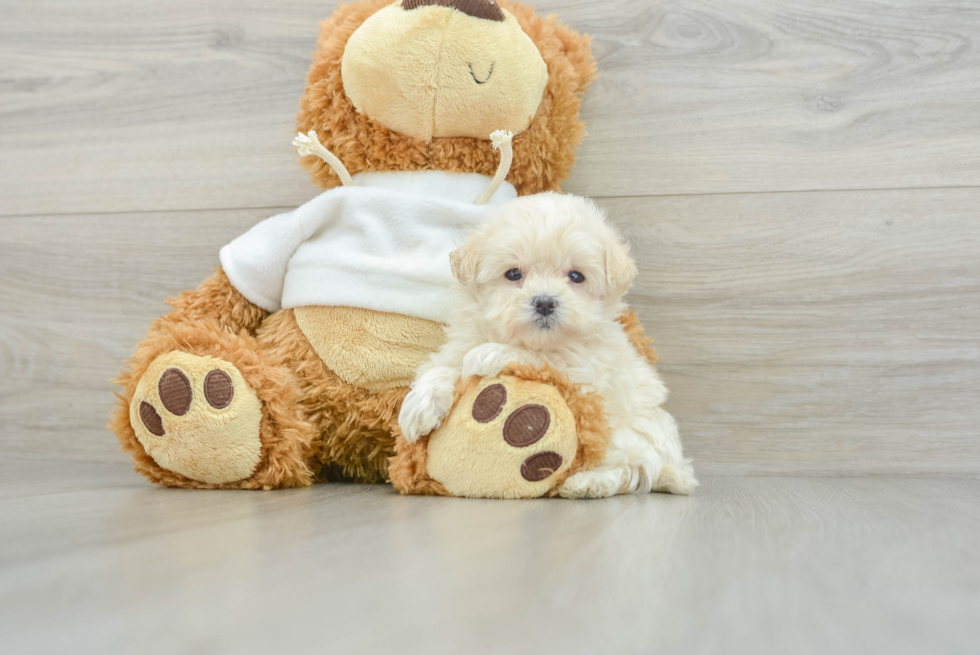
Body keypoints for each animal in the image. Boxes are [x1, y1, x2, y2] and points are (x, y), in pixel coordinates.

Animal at [398, 193, 696, 498]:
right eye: (513, 274)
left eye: (576, 276)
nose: (544, 302)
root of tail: (675, 463)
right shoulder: (460, 344)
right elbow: (442, 368)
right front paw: (418, 409)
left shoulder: (581, 370)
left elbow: (538, 357)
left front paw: (486, 354)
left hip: (630, 437)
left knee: (627, 470)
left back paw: (587, 483)